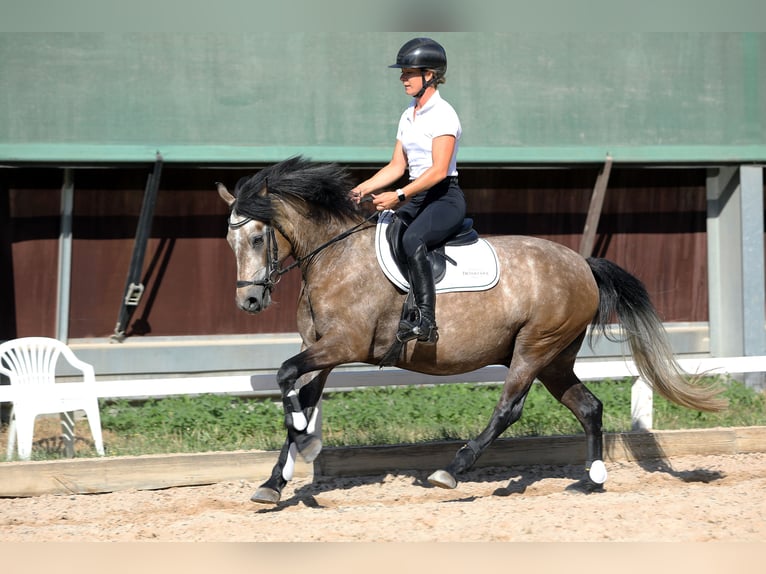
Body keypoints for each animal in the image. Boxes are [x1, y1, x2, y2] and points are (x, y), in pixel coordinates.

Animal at [217, 156, 725, 505]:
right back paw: (593, 481)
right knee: (589, 406)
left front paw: (306, 439)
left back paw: (453, 471)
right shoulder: (320, 349)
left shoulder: (345, 345)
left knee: (509, 409)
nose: (248, 302)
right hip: (555, 358)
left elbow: (286, 378)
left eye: (258, 237)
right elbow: (297, 394)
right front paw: (274, 481)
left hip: (534, 348)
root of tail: (582, 263)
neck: (333, 255)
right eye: (230, 241)